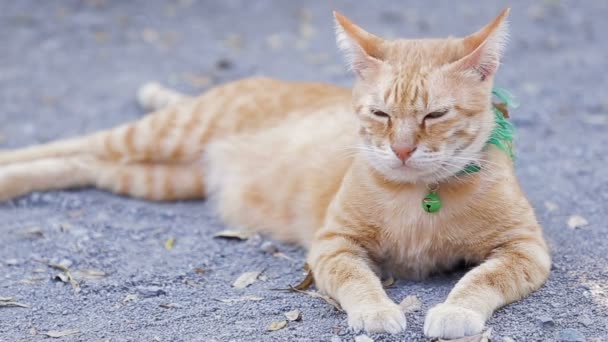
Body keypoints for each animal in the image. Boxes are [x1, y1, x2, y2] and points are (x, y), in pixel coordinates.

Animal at [0, 8, 552, 340]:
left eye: (434, 115)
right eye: (380, 114)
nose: (400, 149)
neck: (420, 198)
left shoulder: (525, 249)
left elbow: (482, 278)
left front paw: (455, 311)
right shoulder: (334, 245)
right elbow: (358, 281)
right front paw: (377, 312)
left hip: (157, 179)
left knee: (82, 163)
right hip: (165, 134)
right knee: (76, 143)